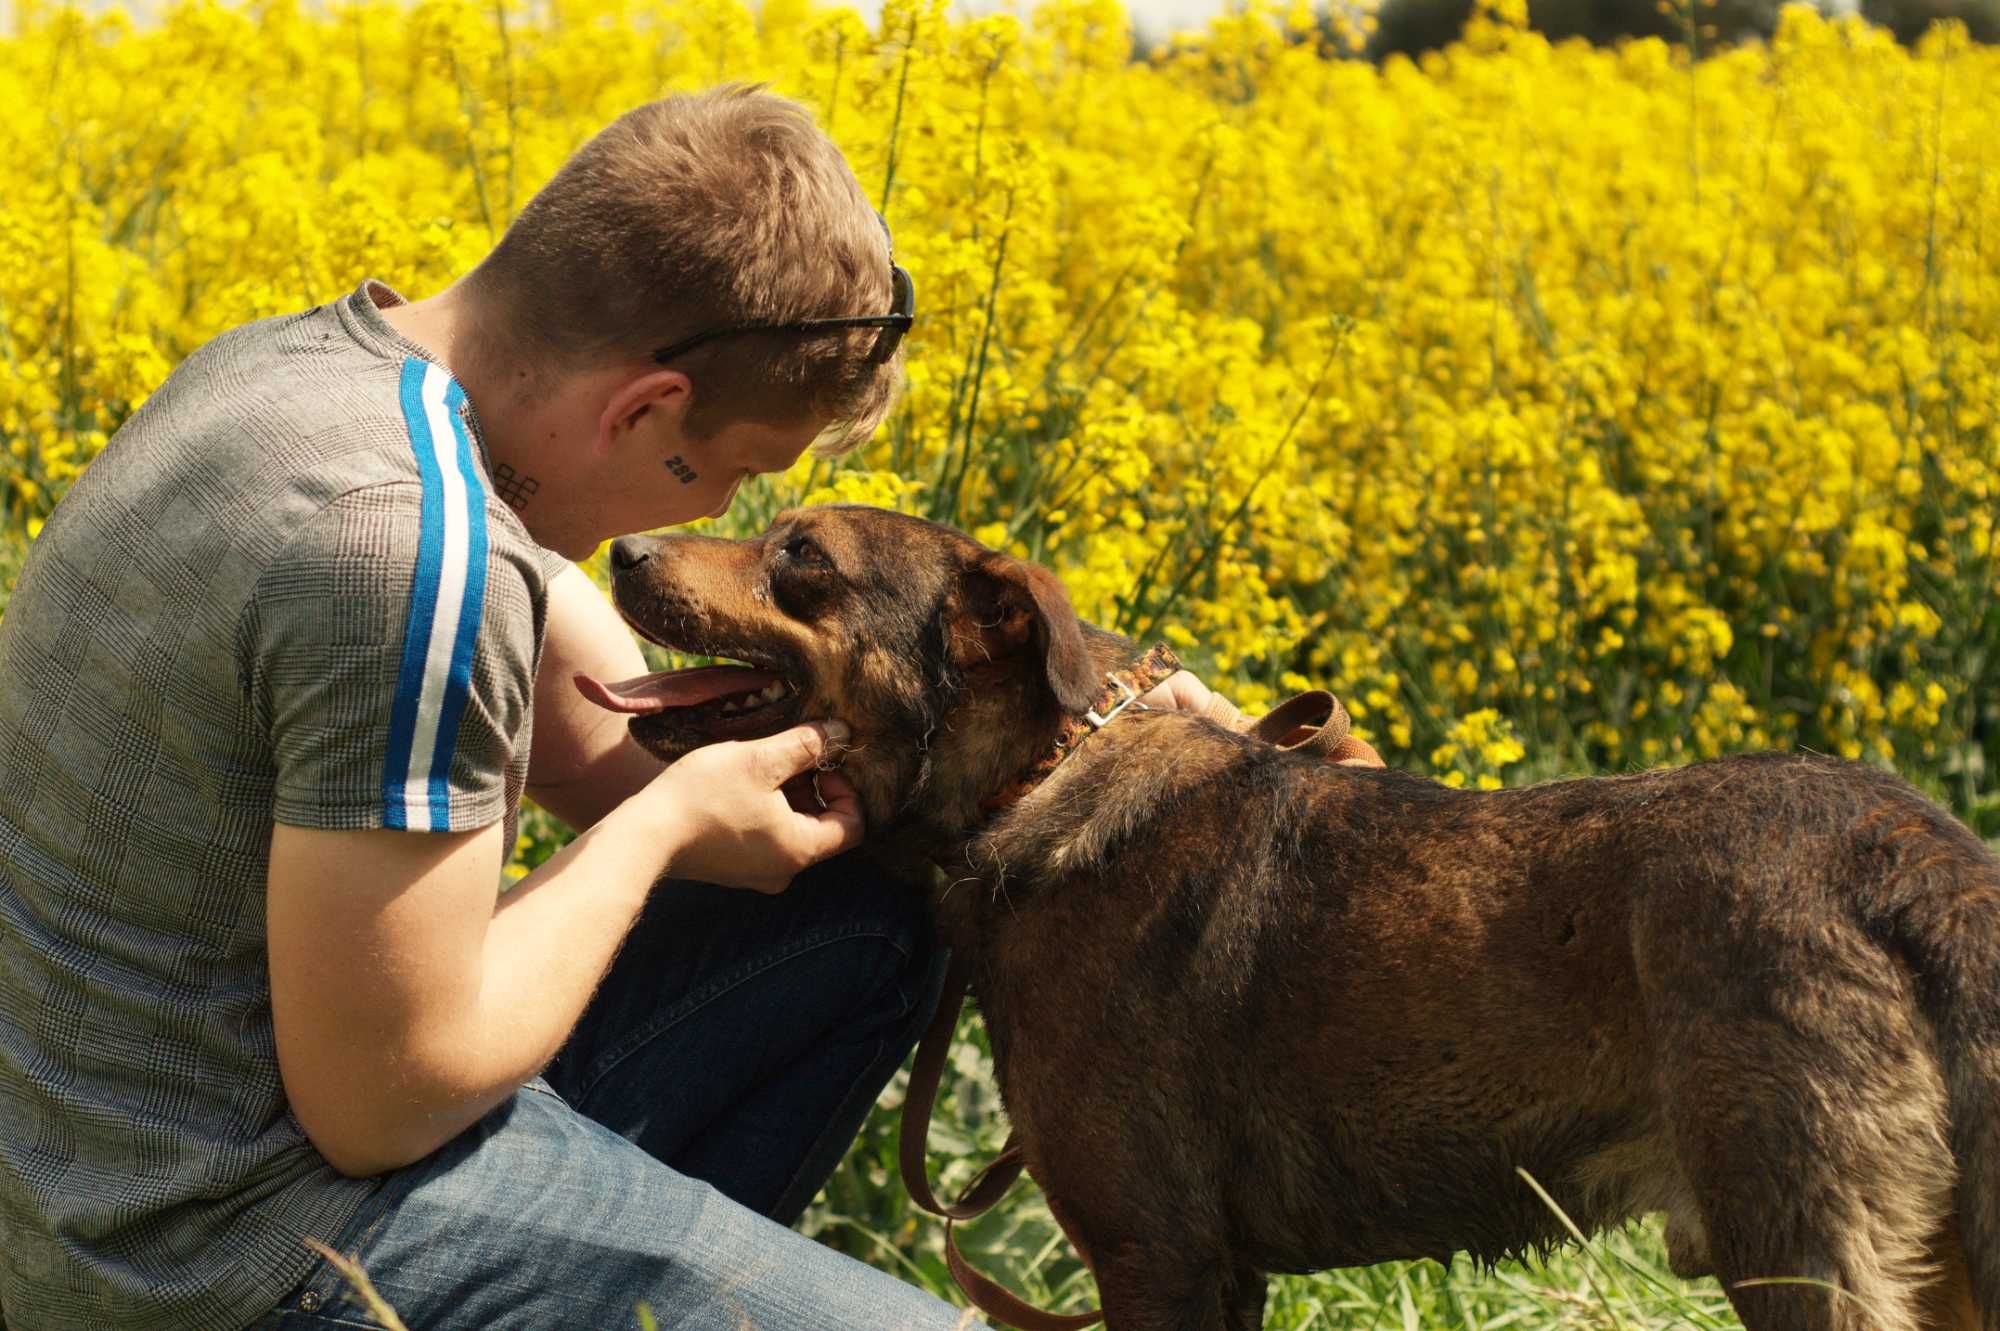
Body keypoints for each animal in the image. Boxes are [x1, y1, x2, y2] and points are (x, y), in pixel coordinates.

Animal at [580, 503, 2000, 1319]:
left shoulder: (1155, 1254)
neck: (1038, 777)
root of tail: (1914, 857)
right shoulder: (1221, 1266)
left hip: (1801, 1252)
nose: (623, 547)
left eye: (801, 560)